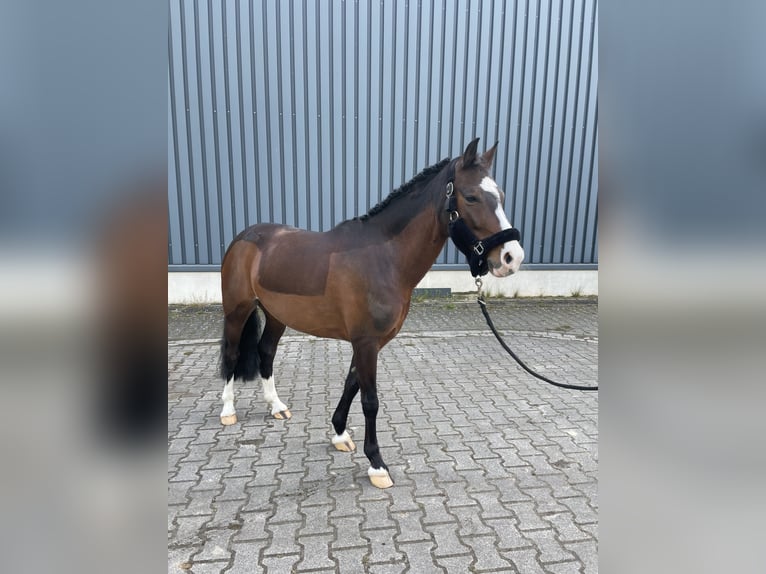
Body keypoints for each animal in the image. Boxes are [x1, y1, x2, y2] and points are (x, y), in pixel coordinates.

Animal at [219, 140, 524, 490]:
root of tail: (244, 237)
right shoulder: (365, 342)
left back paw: (277, 407)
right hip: (237, 310)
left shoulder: (369, 342)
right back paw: (227, 410)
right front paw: (377, 463)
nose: (512, 257)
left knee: (266, 352)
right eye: (471, 196)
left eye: (500, 195)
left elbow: (351, 385)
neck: (384, 258)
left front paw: (339, 433)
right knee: (232, 354)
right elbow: (370, 400)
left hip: (276, 315)